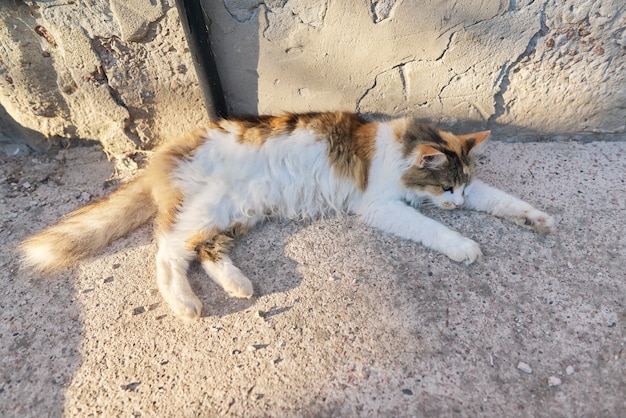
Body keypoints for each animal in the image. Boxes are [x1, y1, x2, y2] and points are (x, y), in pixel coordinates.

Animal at [18, 111, 552, 320]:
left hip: (237, 212)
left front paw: (537, 219)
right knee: (167, 251)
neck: (399, 149)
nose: (457, 204)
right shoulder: (381, 205)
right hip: (206, 208)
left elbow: (503, 200)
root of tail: (170, 149)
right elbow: (431, 227)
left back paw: (238, 285)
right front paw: (463, 245)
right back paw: (186, 303)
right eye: (445, 187)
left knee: (206, 250)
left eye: (460, 187)